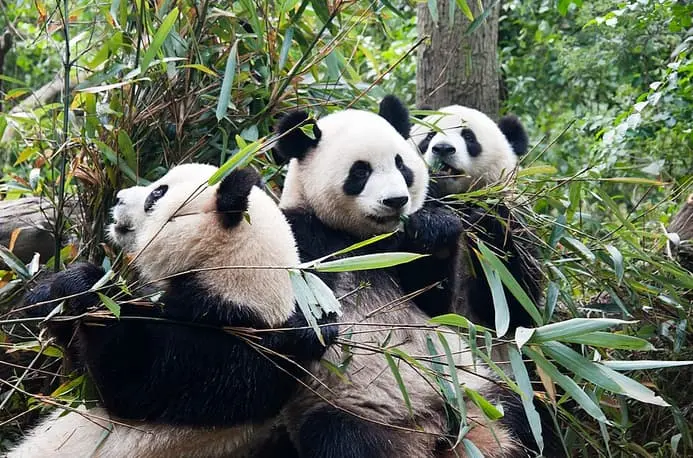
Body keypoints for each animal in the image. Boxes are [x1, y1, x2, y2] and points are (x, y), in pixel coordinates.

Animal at [10, 163, 336, 457]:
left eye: (157, 193)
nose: (119, 197)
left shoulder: (225, 351)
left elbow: (127, 383)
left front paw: (88, 285)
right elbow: (76, 363)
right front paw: (46, 295)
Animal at [406, 104, 543, 332]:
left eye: (469, 137)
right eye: (429, 136)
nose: (442, 148)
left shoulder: (518, 224)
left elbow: (516, 307)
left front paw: (485, 223)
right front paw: (435, 227)